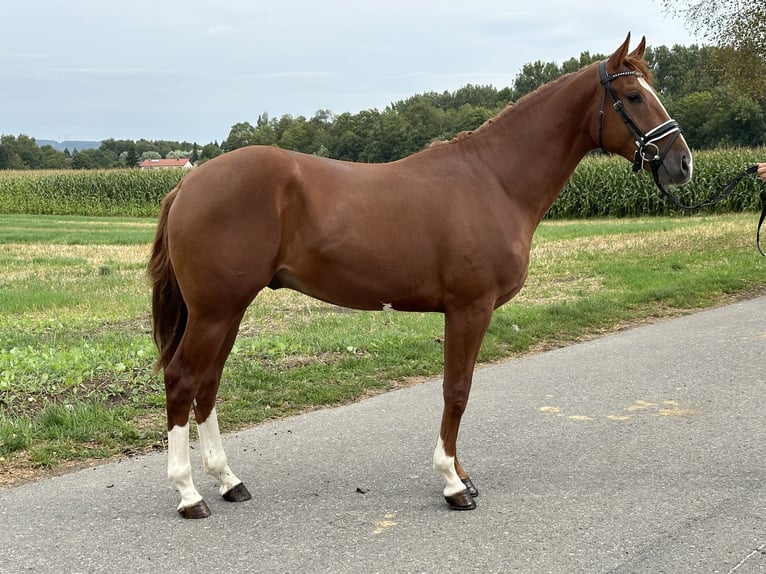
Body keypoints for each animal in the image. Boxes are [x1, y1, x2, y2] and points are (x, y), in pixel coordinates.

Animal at [150, 36, 696, 520]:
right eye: (633, 97)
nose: (682, 163)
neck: (494, 180)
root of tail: (188, 183)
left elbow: (459, 389)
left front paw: (463, 475)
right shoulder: (469, 308)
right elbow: (457, 390)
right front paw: (453, 484)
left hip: (227, 311)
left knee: (208, 384)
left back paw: (228, 482)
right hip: (216, 311)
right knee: (183, 380)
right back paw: (189, 495)